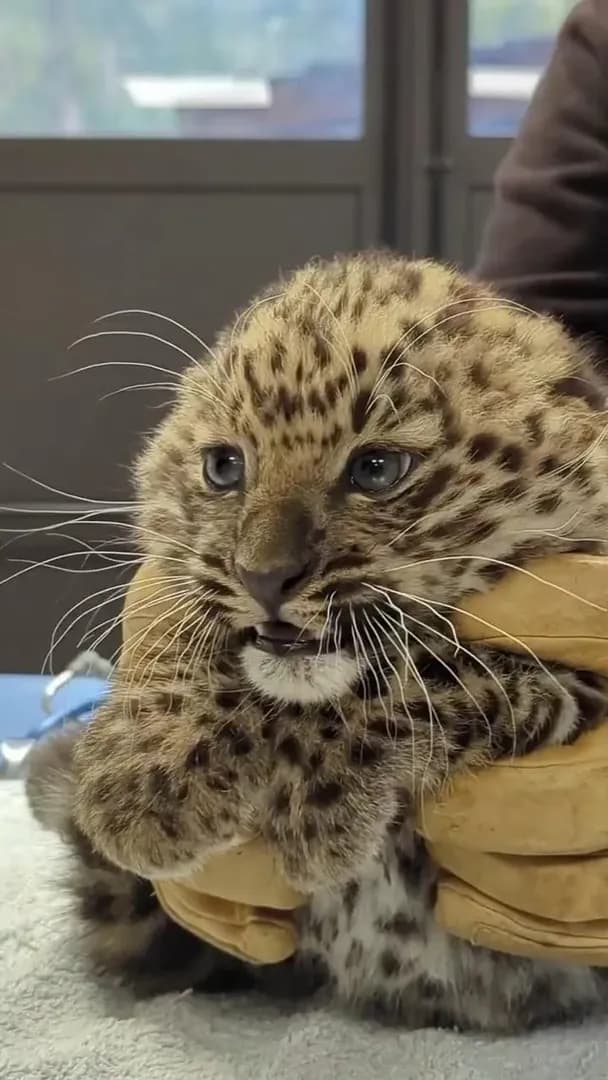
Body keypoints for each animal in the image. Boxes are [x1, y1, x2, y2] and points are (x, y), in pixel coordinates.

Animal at [26, 251, 608, 1031]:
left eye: (377, 469)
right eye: (224, 468)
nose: (264, 577)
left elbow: (440, 673)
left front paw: (319, 806)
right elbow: (186, 613)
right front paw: (145, 767)